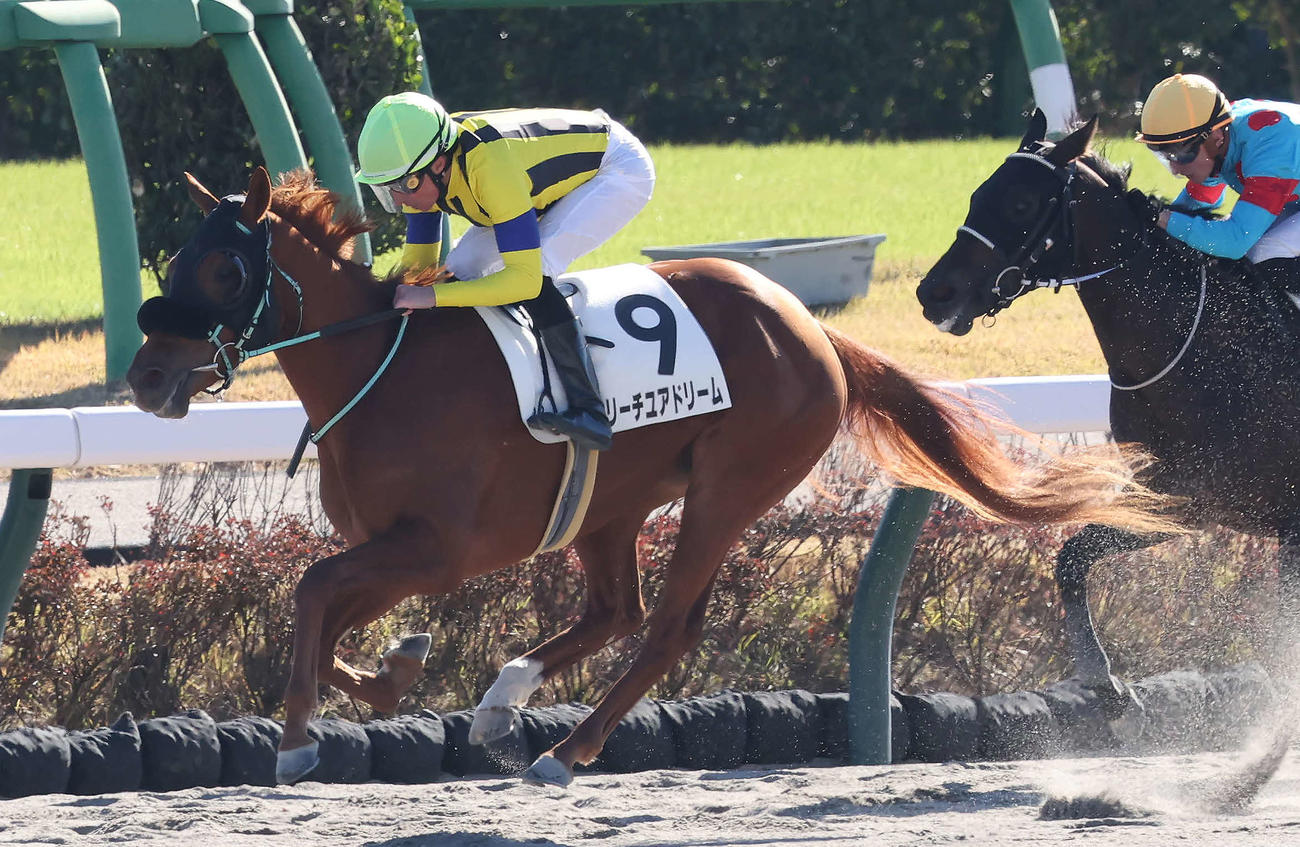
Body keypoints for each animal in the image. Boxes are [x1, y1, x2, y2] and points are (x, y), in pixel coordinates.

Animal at [127, 166, 1168, 786]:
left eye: (224, 270)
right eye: (174, 257)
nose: (143, 378)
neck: (381, 365)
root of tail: (812, 327)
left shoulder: (441, 547)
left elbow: (310, 590)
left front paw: (300, 736)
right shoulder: (391, 547)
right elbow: (322, 610)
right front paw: (392, 674)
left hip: (727, 491)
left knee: (665, 627)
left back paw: (567, 748)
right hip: (609, 505)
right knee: (616, 610)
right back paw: (504, 702)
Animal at [916, 109, 1300, 707]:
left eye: (1022, 204)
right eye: (978, 194)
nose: (935, 293)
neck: (1203, 348)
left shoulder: (1211, 505)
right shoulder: (1169, 495)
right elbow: (1071, 557)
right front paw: (1098, 673)